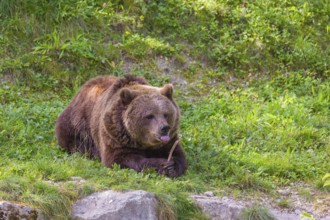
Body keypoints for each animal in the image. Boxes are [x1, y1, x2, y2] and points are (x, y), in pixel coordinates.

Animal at [55, 75, 187, 177]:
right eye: (149, 116)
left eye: (166, 114)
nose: (164, 128)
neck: (142, 142)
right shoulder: (114, 134)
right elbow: (119, 158)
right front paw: (163, 164)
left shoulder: (170, 139)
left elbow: (178, 155)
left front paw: (172, 166)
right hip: (79, 121)